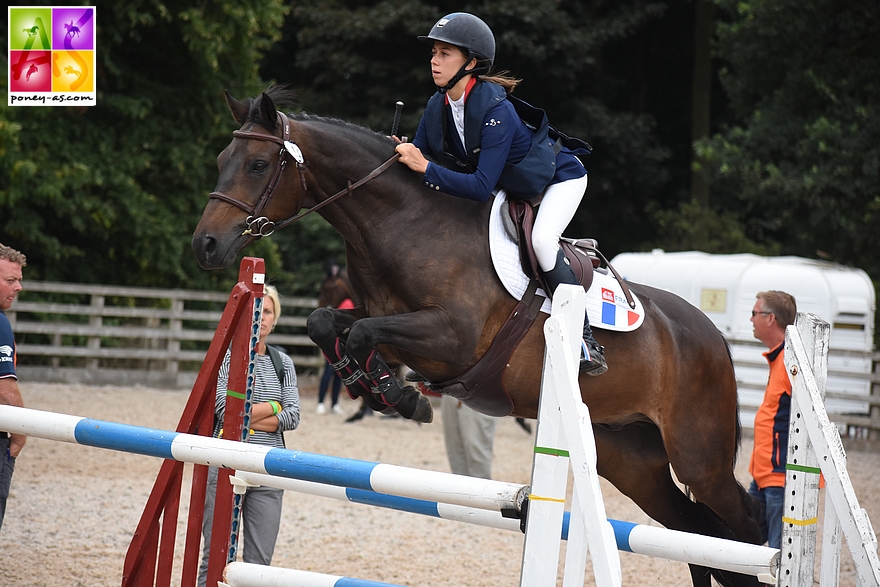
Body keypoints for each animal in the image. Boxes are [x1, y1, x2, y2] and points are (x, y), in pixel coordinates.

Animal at [191, 87, 764, 587]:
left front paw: (398, 397)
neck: (405, 222)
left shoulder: (452, 339)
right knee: (695, 531)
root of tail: (714, 339)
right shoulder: (395, 329)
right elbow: (328, 325)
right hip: (629, 455)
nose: (206, 245)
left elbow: (361, 335)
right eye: (220, 159)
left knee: (743, 523)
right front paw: (376, 390)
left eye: (257, 165)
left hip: (698, 455)